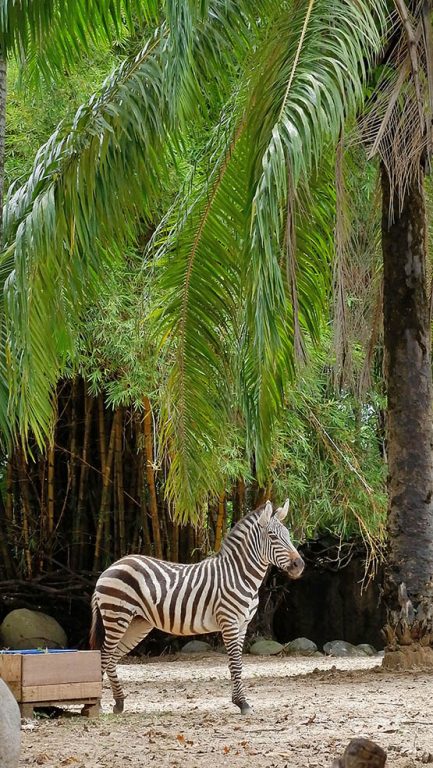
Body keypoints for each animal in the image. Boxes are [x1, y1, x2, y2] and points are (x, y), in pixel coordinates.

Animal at [89, 498, 304, 714]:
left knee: (112, 657)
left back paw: (118, 703)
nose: (299, 565)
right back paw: (96, 705)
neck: (240, 574)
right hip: (117, 615)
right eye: (272, 536)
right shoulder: (229, 622)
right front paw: (242, 703)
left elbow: (239, 664)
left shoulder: (243, 625)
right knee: (104, 654)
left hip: (137, 623)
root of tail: (112, 566)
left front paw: (239, 700)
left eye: (288, 535)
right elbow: (235, 664)